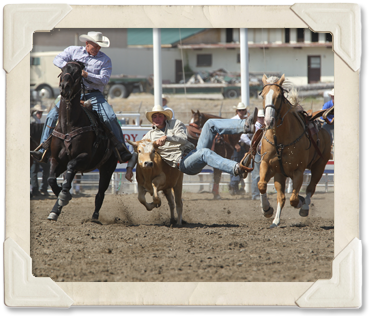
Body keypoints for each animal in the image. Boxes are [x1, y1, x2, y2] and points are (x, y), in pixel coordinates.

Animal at [45, 59, 117, 222]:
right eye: (63, 69)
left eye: (78, 73)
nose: (65, 87)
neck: (69, 125)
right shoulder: (56, 159)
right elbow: (52, 180)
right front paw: (61, 198)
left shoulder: (84, 157)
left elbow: (71, 166)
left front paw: (64, 195)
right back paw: (55, 210)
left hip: (108, 168)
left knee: (100, 193)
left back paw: (95, 217)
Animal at [256, 73, 330, 227]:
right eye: (263, 95)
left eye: (278, 96)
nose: (268, 121)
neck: (280, 139)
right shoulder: (267, 164)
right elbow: (262, 185)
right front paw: (267, 210)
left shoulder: (298, 171)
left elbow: (294, 199)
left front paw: (301, 203)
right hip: (280, 174)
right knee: (281, 197)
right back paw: (276, 220)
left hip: (320, 165)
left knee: (310, 188)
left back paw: (305, 207)